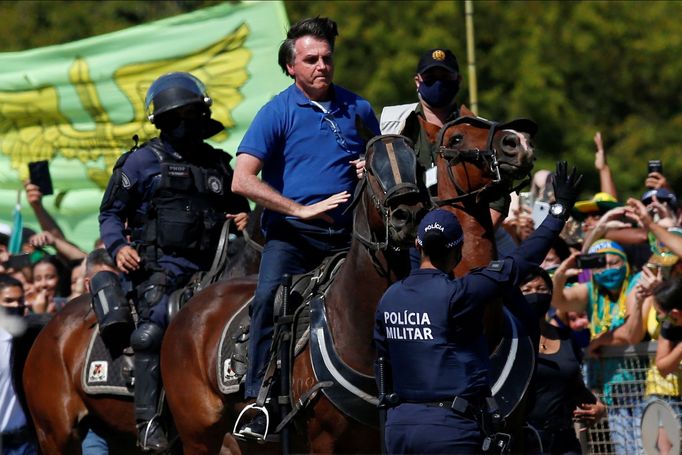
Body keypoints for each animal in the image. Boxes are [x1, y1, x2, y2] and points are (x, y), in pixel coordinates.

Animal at [160, 134, 428, 454]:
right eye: (372, 171)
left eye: (417, 165)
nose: (408, 216)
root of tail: (188, 308)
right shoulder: (323, 441)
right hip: (197, 436)